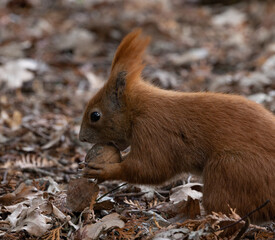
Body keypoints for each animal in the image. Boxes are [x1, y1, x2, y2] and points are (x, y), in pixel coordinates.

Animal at [79, 29, 275, 222]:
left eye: (95, 116)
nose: (81, 138)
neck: (139, 109)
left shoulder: (153, 130)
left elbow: (150, 168)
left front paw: (103, 170)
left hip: (230, 168)